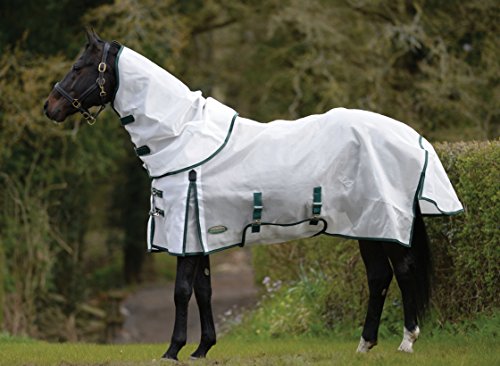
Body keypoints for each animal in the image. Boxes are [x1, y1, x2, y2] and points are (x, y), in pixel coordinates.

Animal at [45, 30, 462, 360]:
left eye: (80, 67)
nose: (51, 107)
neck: (183, 136)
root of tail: (413, 138)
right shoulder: (201, 232)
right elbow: (204, 290)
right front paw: (202, 348)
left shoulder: (185, 232)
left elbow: (181, 291)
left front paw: (172, 350)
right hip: (366, 225)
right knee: (378, 277)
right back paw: (364, 345)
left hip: (387, 223)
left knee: (403, 272)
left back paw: (407, 341)